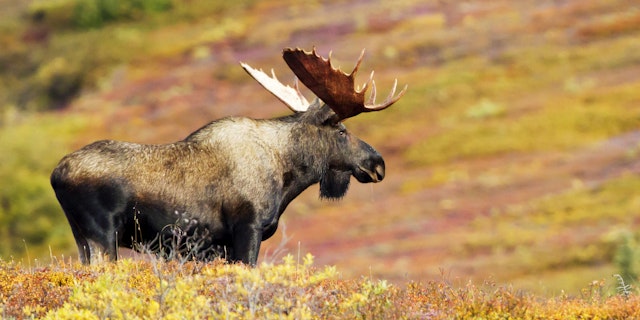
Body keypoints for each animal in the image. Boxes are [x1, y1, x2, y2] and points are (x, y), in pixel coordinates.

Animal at [52, 47, 408, 264]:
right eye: (342, 131)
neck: (286, 175)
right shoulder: (247, 228)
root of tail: (55, 175)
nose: (378, 165)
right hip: (102, 235)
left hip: (80, 237)